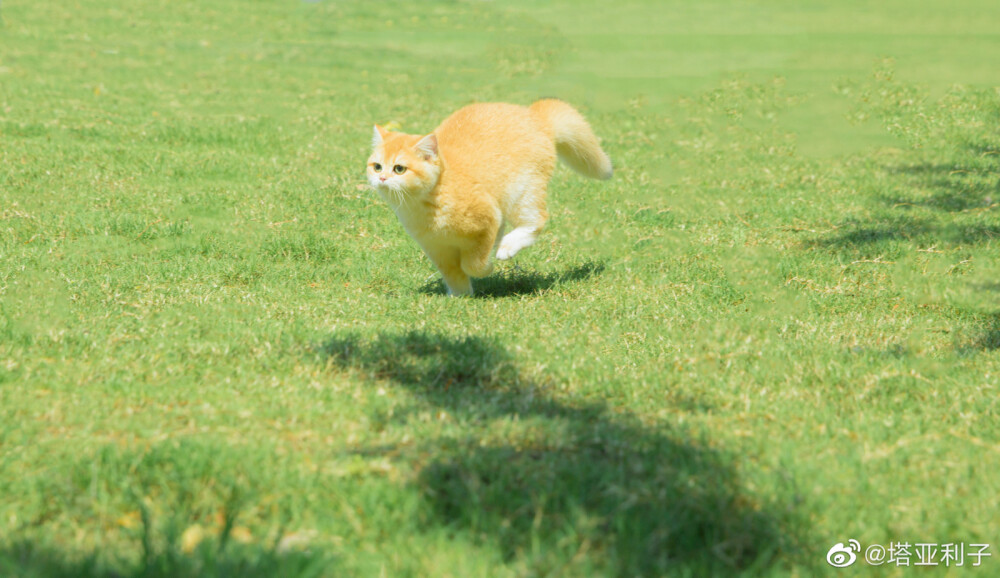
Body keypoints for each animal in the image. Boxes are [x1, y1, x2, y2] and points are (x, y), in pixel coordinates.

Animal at [368, 98, 608, 294]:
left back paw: (507, 247)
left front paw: (488, 267)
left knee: (535, 222)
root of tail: (534, 114)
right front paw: (461, 297)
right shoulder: (437, 248)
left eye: (399, 169)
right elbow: (454, 274)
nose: (382, 178)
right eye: (377, 166)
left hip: (523, 193)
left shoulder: (489, 220)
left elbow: (473, 264)